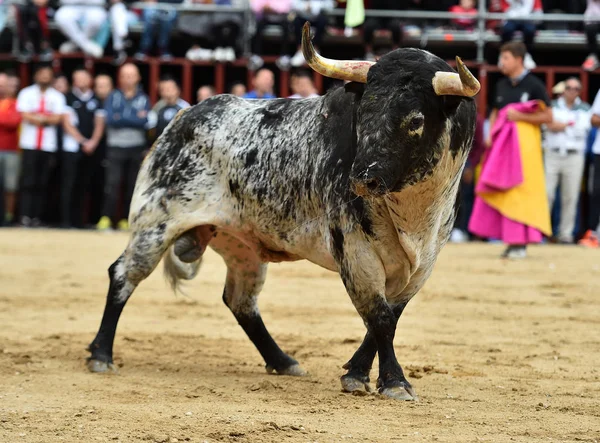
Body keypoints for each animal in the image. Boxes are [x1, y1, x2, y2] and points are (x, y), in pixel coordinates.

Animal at [86, 22, 480, 400]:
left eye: (414, 120)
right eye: (364, 113)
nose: (363, 178)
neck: (412, 212)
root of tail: (183, 116)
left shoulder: (425, 262)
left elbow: (389, 318)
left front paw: (356, 372)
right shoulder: (355, 253)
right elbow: (379, 316)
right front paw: (394, 382)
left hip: (239, 244)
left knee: (241, 302)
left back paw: (282, 360)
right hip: (154, 223)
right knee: (123, 275)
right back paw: (101, 354)